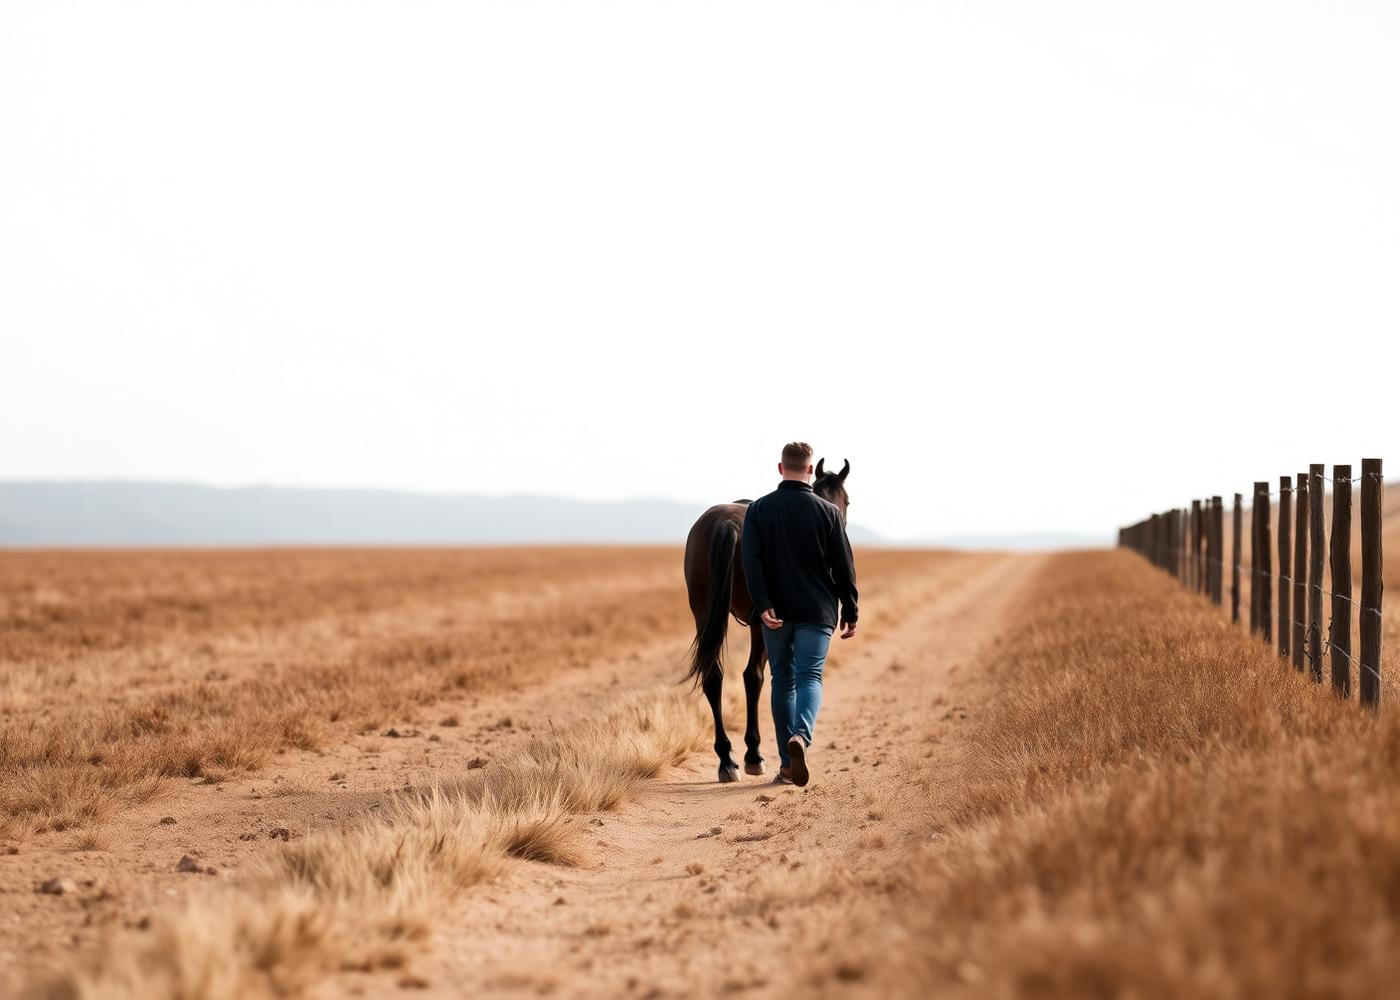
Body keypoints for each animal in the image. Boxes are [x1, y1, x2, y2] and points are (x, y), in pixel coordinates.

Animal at [682, 458, 852, 783]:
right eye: (847, 501)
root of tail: (724, 523)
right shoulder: (765, 624)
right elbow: (762, 677)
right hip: (762, 621)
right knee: (753, 676)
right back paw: (751, 755)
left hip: (703, 610)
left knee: (713, 676)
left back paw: (726, 759)